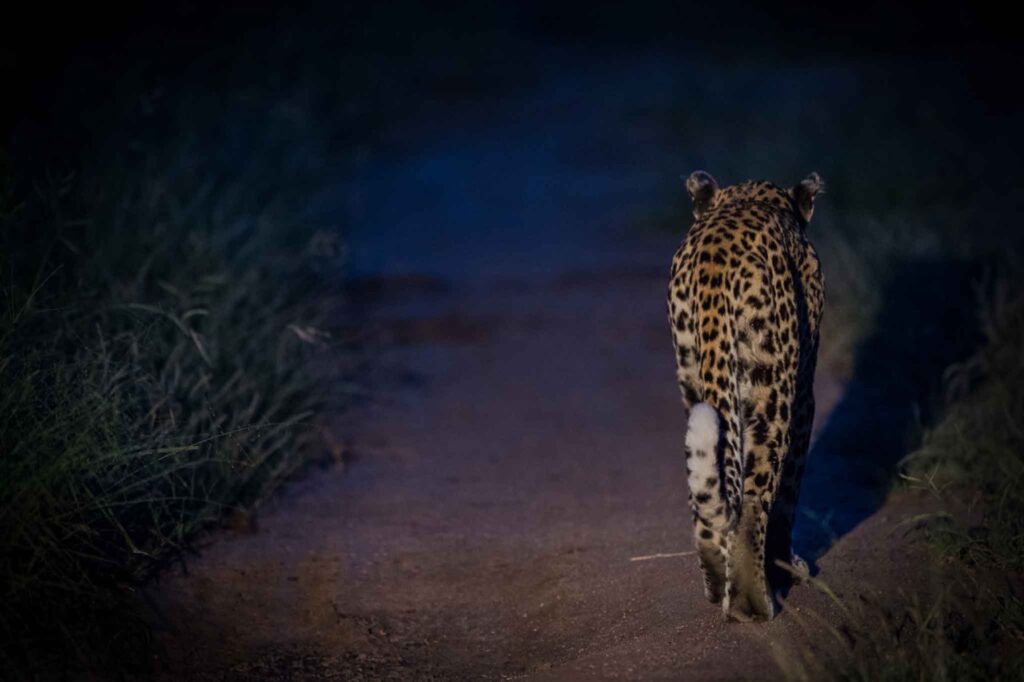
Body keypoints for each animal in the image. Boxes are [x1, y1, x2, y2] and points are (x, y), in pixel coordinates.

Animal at [668, 170, 825, 621]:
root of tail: (714, 257)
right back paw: (753, 601)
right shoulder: (804, 395)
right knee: (755, 495)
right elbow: (789, 489)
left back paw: (716, 581)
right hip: (772, 389)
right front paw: (786, 563)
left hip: (692, 373)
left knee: (706, 500)